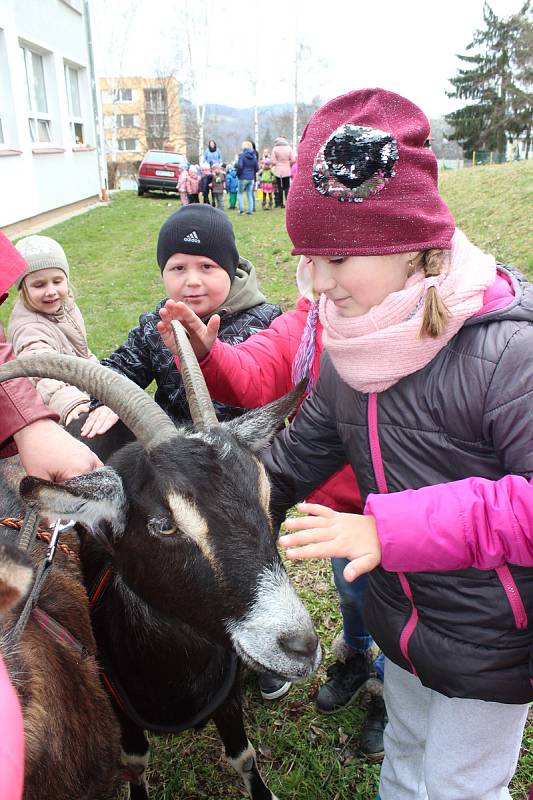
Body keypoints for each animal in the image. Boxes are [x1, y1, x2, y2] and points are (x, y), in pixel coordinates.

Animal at [0, 324, 320, 800]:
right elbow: (135, 761)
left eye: (265, 497)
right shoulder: (115, 703)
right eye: (163, 525)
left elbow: (242, 756)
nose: (300, 646)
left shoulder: (227, 697)